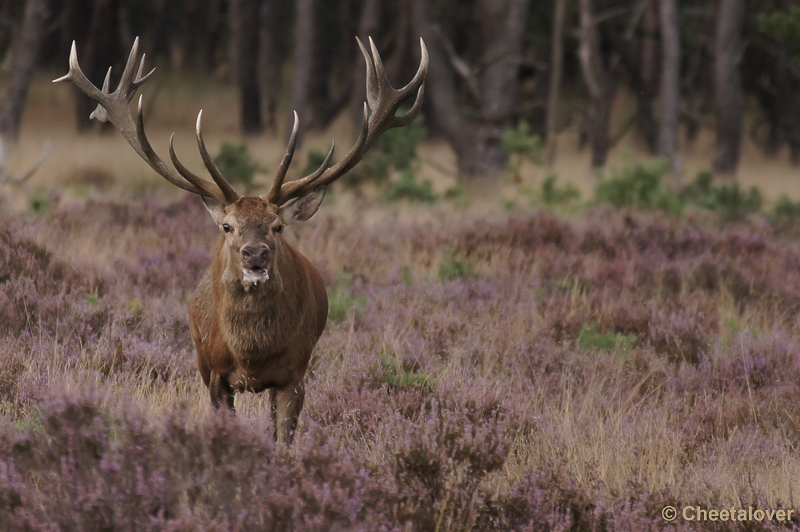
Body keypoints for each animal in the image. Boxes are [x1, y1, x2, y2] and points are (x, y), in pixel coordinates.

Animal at [53, 37, 428, 442]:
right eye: (227, 226)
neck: (251, 355)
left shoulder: (295, 375)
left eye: (277, 226)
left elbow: (283, 441)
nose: (255, 255)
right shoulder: (215, 375)